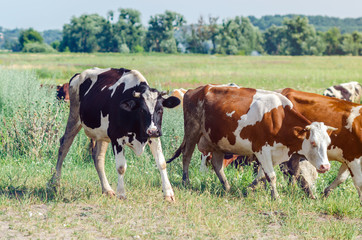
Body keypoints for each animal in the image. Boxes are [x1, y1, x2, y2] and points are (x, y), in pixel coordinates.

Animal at [47, 66, 180, 202]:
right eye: (142, 110)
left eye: (160, 110)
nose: (153, 130)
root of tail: (79, 75)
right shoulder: (117, 138)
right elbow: (121, 167)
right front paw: (121, 194)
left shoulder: (153, 137)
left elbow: (161, 163)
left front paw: (168, 193)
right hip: (74, 118)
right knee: (63, 147)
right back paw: (55, 183)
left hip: (102, 134)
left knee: (98, 157)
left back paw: (107, 189)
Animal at [168, 85, 336, 199]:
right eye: (313, 143)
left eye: (327, 143)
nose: (326, 166)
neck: (279, 118)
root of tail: (194, 90)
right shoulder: (262, 150)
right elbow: (271, 175)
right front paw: (276, 197)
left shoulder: (273, 154)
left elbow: (262, 176)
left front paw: (249, 189)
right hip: (192, 131)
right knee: (186, 156)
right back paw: (186, 182)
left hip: (217, 142)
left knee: (217, 165)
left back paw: (227, 187)